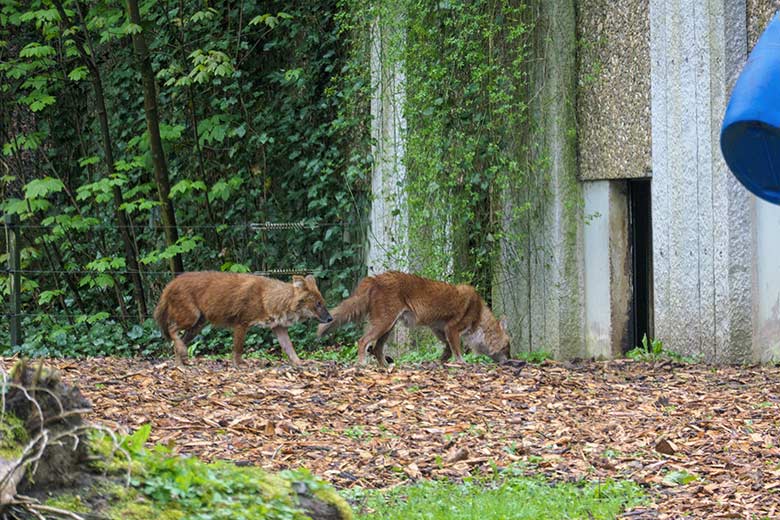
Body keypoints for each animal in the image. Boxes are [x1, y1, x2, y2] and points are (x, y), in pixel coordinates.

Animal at [155, 272, 332, 366]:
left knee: (179, 341)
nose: (330, 318)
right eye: (318, 304)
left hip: (198, 325)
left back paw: (180, 363)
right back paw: (182, 355)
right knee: (171, 329)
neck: (268, 299)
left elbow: (290, 348)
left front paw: (300, 362)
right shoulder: (241, 322)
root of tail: (171, 283)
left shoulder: (278, 327)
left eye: (323, 302)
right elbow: (238, 347)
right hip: (191, 317)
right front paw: (238, 364)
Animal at [318, 272, 512, 366]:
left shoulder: (439, 329)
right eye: (507, 347)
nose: (510, 361)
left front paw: (439, 363)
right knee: (363, 341)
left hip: (389, 327)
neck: (479, 314)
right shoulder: (452, 329)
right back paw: (362, 364)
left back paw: (386, 367)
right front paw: (462, 363)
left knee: (377, 349)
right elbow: (457, 351)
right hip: (384, 323)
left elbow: (448, 350)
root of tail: (374, 278)